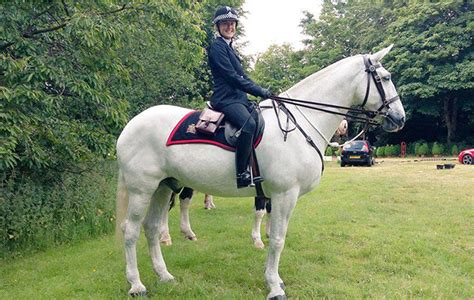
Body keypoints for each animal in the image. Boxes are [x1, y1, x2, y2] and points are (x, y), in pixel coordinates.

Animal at [115, 45, 404, 298]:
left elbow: (274, 232)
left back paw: (164, 275)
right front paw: (274, 287)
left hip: (163, 186)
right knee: (131, 231)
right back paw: (136, 284)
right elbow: (277, 239)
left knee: (152, 227)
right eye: (386, 78)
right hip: (142, 189)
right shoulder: (284, 194)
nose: (400, 118)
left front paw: (275, 279)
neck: (299, 122)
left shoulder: (277, 196)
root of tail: (131, 125)